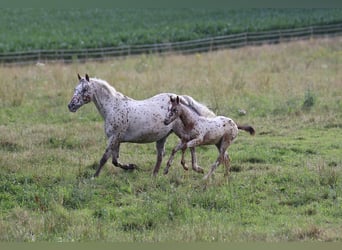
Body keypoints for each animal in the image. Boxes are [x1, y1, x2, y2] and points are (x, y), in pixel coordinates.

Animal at [68, 73, 215, 177]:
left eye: (85, 89)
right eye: (75, 89)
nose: (71, 106)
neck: (113, 107)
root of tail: (180, 99)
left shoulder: (114, 138)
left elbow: (104, 158)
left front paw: (94, 177)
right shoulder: (117, 139)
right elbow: (115, 160)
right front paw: (132, 166)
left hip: (181, 132)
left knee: (191, 146)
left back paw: (195, 168)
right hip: (162, 137)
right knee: (161, 155)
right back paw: (155, 175)